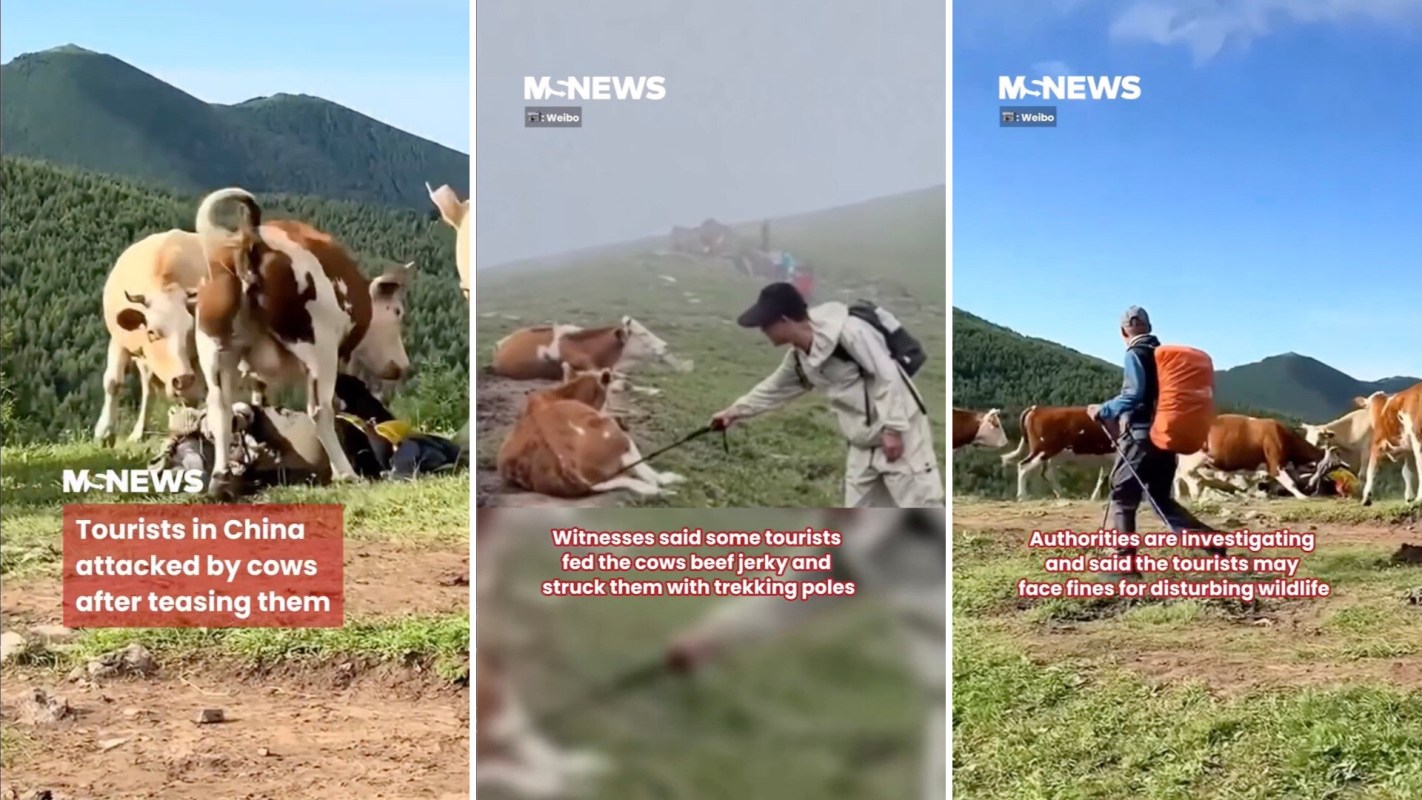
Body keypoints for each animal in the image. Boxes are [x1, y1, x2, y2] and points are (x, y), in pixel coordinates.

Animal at [95, 231, 208, 444]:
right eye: (152, 332)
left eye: (190, 330)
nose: (182, 379)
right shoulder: (119, 340)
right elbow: (113, 382)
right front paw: (104, 432)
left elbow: (194, 395)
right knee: (148, 388)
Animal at [191, 187, 415, 496]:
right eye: (397, 312)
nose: (403, 367)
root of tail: (252, 241)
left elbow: (261, 404)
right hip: (319, 348)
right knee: (320, 411)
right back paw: (346, 473)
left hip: (214, 349)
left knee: (220, 408)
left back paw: (220, 480)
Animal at [1174, 414, 1341, 501]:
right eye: (1325, 466)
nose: (1312, 487)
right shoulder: (1275, 463)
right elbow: (1290, 482)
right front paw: (1302, 496)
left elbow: (1277, 482)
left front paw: (1270, 494)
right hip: (1194, 460)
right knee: (1185, 474)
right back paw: (1194, 489)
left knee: (1178, 475)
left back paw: (1180, 495)